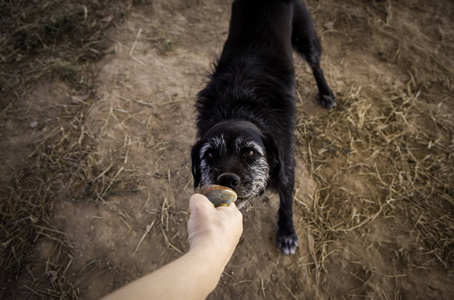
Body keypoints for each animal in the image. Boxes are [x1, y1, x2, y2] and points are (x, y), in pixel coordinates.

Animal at [190, 0, 336, 255]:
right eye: (210, 154)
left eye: (250, 152)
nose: (228, 180)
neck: (238, 108)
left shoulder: (287, 166)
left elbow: (286, 202)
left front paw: (287, 233)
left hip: (303, 36)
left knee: (316, 63)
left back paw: (326, 93)